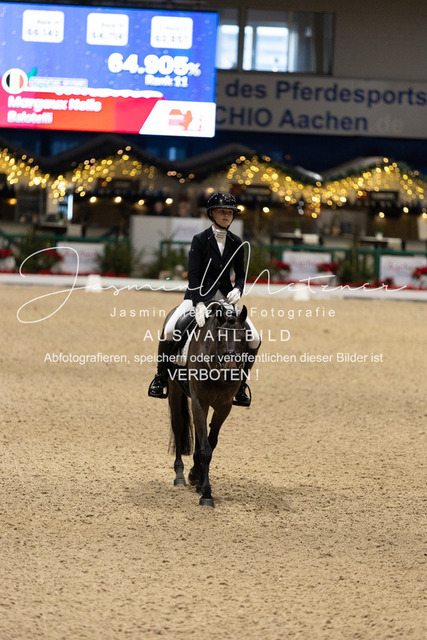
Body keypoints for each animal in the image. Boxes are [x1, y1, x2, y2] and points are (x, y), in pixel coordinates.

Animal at [164, 301, 250, 508]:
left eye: (244, 339)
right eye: (219, 338)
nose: (231, 373)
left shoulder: (224, 406)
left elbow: (210, 442)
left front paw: (198, 479)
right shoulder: (199, 402)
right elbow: (205, 449)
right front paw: (206, 494)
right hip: (174, 387)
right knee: (178, 426)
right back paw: (179, 475)